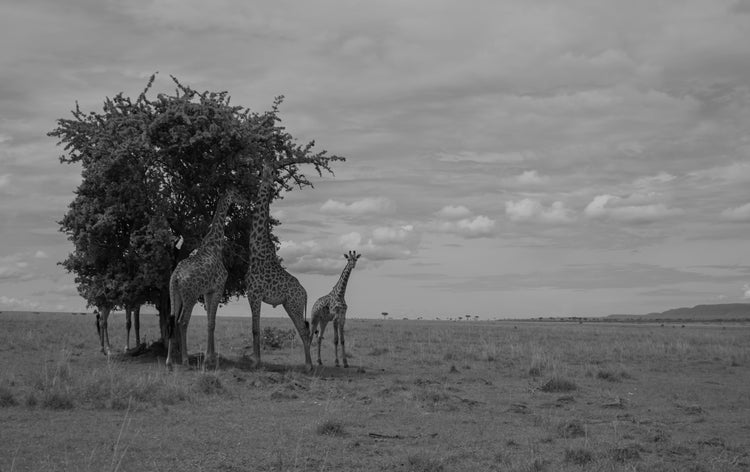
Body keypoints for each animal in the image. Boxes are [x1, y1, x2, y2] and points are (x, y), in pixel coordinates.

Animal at [167, 189, 238, 368]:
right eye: (238, 193)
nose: (245, 199)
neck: (216, 246)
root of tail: (176, 276)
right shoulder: (219, 287)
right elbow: (212, 322)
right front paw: (209, 358)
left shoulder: (208, 291)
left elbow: (209, 322)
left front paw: (209, 356)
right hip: (190, 296)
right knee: (182, 322)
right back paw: (185, 360)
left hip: (174, 294)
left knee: (172, 320)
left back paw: (169, 360)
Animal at [247, 162, 314, 372]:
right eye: (264, 167)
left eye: (271, 170)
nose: (264, 167)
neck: (256, 249)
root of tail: (305, 294)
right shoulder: (251, 294)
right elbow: (256, 328)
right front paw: (255, 359)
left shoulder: (254, 294)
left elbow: (255, 329)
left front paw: (256, 362)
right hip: (289, 305)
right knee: (304, 329)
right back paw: (308, 364)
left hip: (294, 305)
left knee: (304, 330)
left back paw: (309, 366)